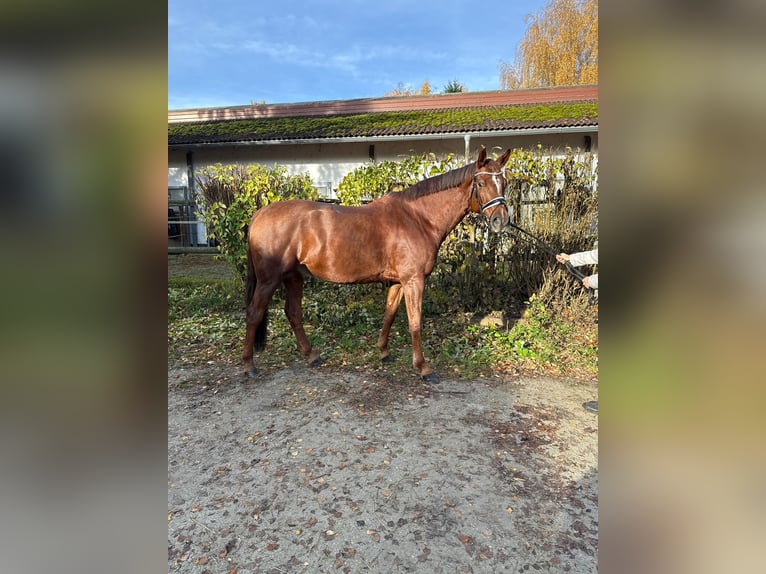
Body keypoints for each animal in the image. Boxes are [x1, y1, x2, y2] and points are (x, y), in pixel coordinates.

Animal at [242, 147, 511, 381]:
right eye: (481, 184)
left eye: (505, 183)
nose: (501, 221)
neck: (418, 218)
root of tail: (260, 213)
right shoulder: (414, 280)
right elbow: (415, 322)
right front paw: (423, 367)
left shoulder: (398, 282)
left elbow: (389, 314)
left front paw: (383, 352)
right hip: (269, 280)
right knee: (254, 313)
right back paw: (249, 365)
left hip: (293, 277)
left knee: (293, 313)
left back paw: (312, 356)